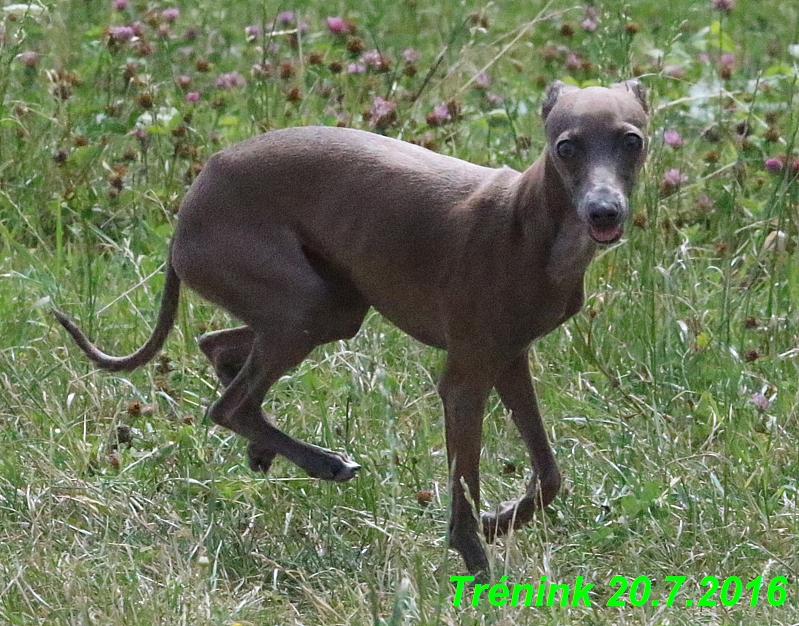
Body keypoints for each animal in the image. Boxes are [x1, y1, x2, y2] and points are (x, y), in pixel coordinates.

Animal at [61, 79, 648, 572]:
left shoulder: (508, 359)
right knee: (229, 405)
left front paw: (499, 522)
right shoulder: (465, 379)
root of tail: (194, 195)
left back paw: (266, 447)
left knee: (220, 350)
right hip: (304, 306)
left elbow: (549, 474)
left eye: (632, 141)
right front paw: (477, 563)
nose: (603, 213)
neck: (534, 223)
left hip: (332, 307)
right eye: (566, 147)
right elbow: (465, 485)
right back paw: (320, 461)